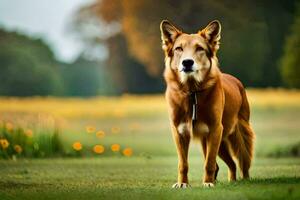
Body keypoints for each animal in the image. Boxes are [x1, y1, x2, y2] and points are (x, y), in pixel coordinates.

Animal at [161, 19, 254, 188]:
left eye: (200, 48)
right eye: (179, 48)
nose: (187, 62)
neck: (192, 91)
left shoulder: (215, 129)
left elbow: (209, 162)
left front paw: (208, 183)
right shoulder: (178, 131)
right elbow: (183, 163)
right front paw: (182, 183)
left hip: (237, 134)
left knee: (243, 160)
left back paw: (244, 179)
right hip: (214, 143)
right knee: (230, 163)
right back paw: (231, 181)